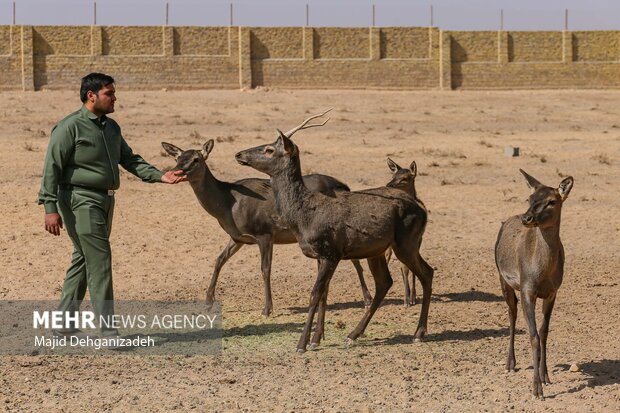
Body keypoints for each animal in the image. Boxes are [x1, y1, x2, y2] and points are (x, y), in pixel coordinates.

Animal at [162, 111, 370, 318]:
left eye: (196, 159)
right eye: (176, 158)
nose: (175, 172)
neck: (227, 206)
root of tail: (345, 186)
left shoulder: (264, 232)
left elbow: (265, 269)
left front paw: (267, 308)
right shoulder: (238, 237)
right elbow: (219, 260)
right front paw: (208, 302)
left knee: (355, 259)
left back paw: (367, 300)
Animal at [382, 158, 426, 306]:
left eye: (405, 178)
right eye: (393, 175)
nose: (389, 184)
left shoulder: (419, 239)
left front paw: (413, 297)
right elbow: (405, 267)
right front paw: (406, 300)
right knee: (388, 259)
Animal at [494, 168, 576, 400]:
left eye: (552, 201)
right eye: (529, 198)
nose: (527, 217)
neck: (542, 273)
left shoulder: (553, 292)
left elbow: (544, 332)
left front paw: (546, 376)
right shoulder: (527, 289)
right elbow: (533, 336)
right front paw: (536, 389)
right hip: (503, 279)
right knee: (511, 314)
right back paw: (510, 363)